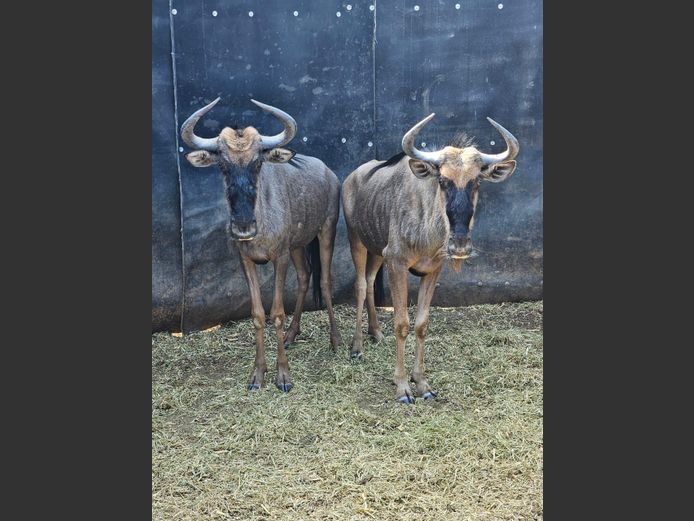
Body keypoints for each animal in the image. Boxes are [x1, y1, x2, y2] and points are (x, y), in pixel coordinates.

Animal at [181, 97, 343, 392]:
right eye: (222, 165)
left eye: (257, 163)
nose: (243, 227)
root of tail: (329, 173)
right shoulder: (246, 260)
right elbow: (257, 314)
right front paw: (257, 374)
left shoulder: (279, 257)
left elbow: (276, 312)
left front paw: (283, 376)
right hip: (298, 246)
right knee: (305, 277)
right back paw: (291, 335)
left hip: (326, 231)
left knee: (325, 282)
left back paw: (336, 342)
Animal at [342, 114, 519, 403]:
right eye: (443, 181)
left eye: (476, 182)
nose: (460, 245)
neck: (427, 225)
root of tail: (351, 178)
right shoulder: (397, 264)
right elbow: (402, 323)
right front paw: (402, 387)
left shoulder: (432, 271)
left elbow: (421, 324)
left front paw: (422, 383)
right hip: (356, 239)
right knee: (359, 284)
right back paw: (356, 347)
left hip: (377, 250)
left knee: (369, 281)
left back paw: (376, 333)